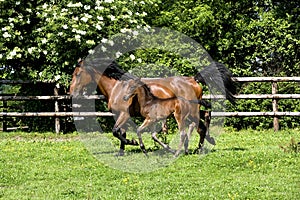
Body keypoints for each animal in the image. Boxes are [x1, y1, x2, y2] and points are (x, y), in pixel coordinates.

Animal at [70, 57, 237, 155]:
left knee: (200, 124)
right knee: (205, 118)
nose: (71, 93)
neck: (117, 88)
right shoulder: (119, 115)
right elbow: (120, 133)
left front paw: (134, 143)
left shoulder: (124, 114)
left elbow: (116, 131)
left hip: (189, 112)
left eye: (77, 74)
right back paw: (203, 144)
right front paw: (122, 152)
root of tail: (193, 80)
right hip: (192, 110)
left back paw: (197, 148)